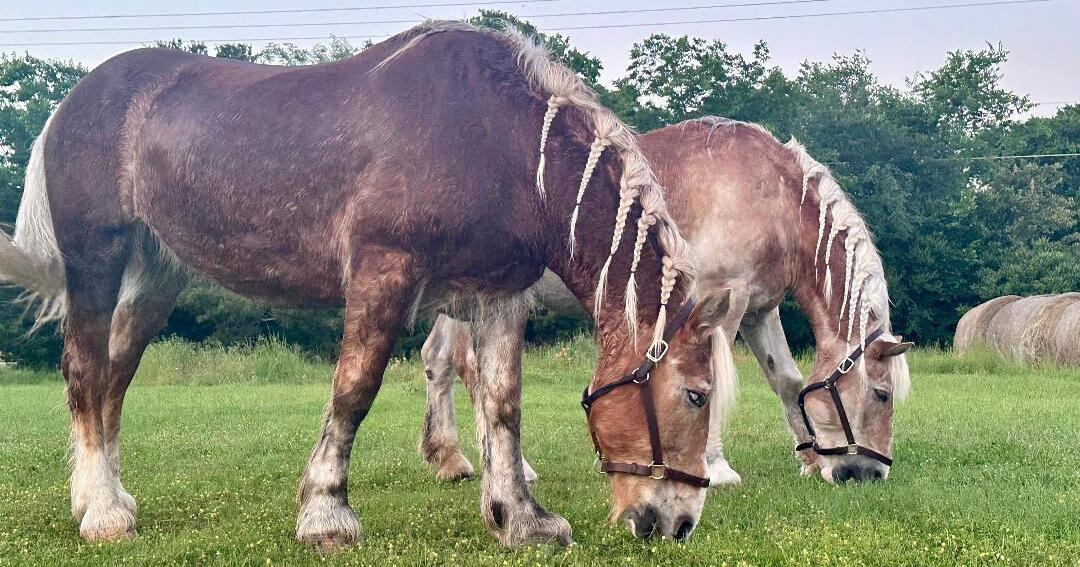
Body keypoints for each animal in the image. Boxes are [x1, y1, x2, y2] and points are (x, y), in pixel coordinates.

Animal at [0, 23, 738, 548]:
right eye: (696, 396)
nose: (677, 523)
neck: (497, 141)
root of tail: (73, 101)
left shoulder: (498, 292)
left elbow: (502, 403)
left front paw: (521, 518)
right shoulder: (385, 270)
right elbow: (355, 389)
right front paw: (327, 513)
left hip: (158, 272)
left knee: (115, 376)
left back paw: (105, 496)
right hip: (96, 260)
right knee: (86, 373)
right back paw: (101, 513)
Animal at [419, 117, 913, 486]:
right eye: (882, 394)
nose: (870, 473)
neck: (771, 194)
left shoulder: (760, 310)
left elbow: (787, 381)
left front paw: (809, 458)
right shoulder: (726, 300)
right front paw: (717, 467)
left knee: (438, 359)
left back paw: (451, 459)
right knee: (472, 368)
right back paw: (514, 468)